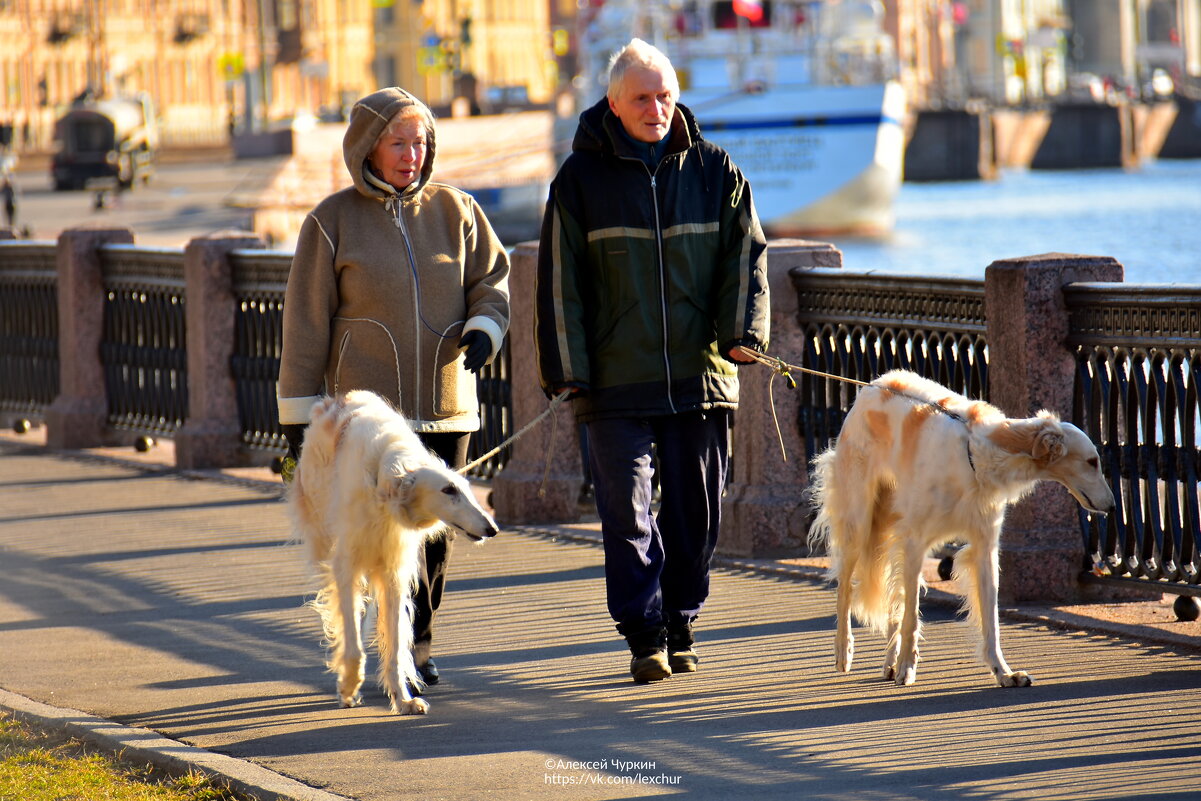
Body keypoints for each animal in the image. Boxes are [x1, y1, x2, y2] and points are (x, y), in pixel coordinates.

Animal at [285, 391, 497, 715]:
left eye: (466, 490)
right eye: (448, 490)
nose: (492, 528)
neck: (385, 479)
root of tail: (336, 399)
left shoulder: (394, 571)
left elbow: (396, 644)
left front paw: (404, 699)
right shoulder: (347, 563)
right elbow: (352, 638)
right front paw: (349, 687)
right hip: (323, 532)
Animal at [807, 369, 1114, 691]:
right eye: (1092, 461)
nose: (1113, 505)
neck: (977, 455)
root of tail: (873, 385)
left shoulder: (984, 546)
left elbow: (990, 621)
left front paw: (1004, 673)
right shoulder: (915, 542)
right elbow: (911, 616)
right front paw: (907, 667)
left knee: (893, 597)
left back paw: (889, 663)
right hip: (859, 520)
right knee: (845, 588)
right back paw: (844, 650)